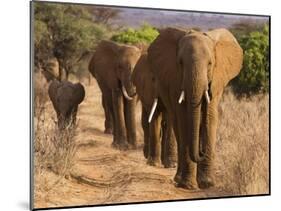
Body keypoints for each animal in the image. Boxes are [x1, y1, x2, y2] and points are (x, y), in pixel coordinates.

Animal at [147, 27, 243, 189]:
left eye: (210, 64)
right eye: (180, 63)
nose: (202, 151)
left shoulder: (217, 81)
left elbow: (211, 117)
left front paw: (207, 184)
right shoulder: (175, 79)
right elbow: (184, 118)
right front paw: (188, 185)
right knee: (177, 126)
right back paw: (179, 179)